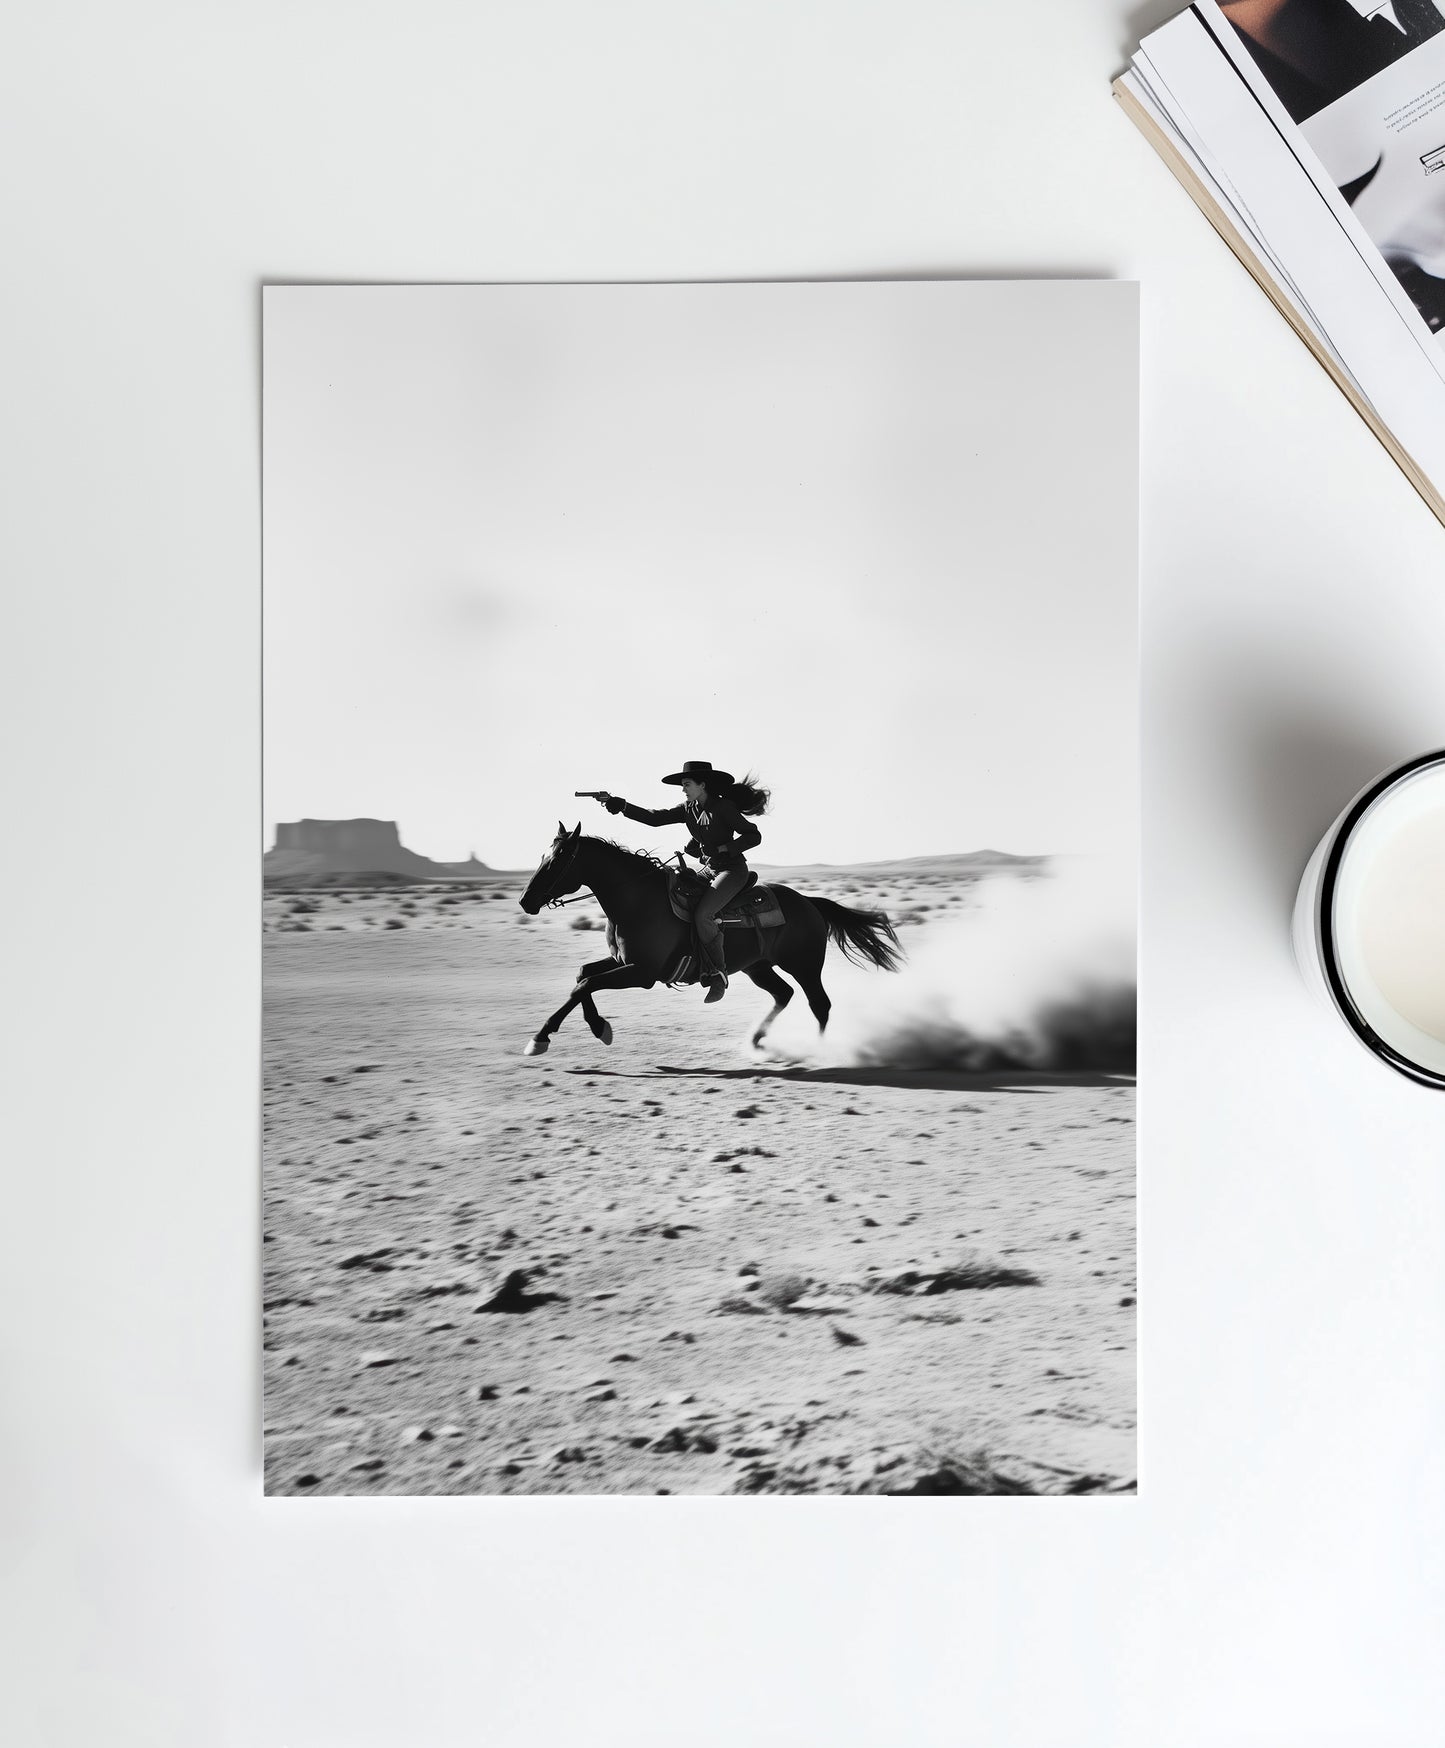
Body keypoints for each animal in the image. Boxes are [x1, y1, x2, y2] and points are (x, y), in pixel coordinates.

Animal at [520, 825, 901, 1055]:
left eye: (556, 860)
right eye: (542, 856)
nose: (526, 901)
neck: (638, 901)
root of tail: (809, 902)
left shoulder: (642, 973)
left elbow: (584, 985)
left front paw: (542, 1038)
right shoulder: (621, 963)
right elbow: (582, 976)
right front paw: (598, 1027)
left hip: (804, 965)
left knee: (819, 1004)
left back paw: (819, 1052)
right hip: (758, 967)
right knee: (783, 994)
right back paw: (757, 1039)